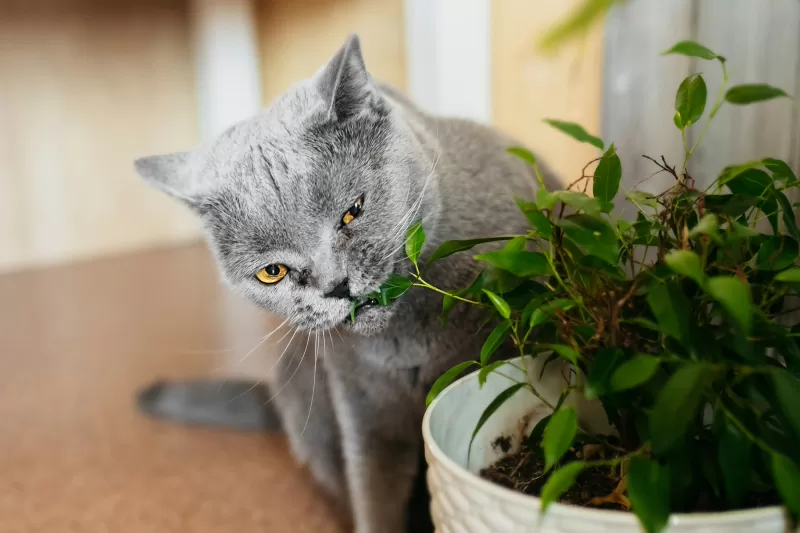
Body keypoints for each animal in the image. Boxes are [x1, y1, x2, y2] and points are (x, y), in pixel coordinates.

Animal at [133, 34, 556, 532]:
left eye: (352, 211)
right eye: (272, 272)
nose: (336, 284)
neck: (405, 339)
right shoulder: (361, 404)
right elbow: (373, 491)